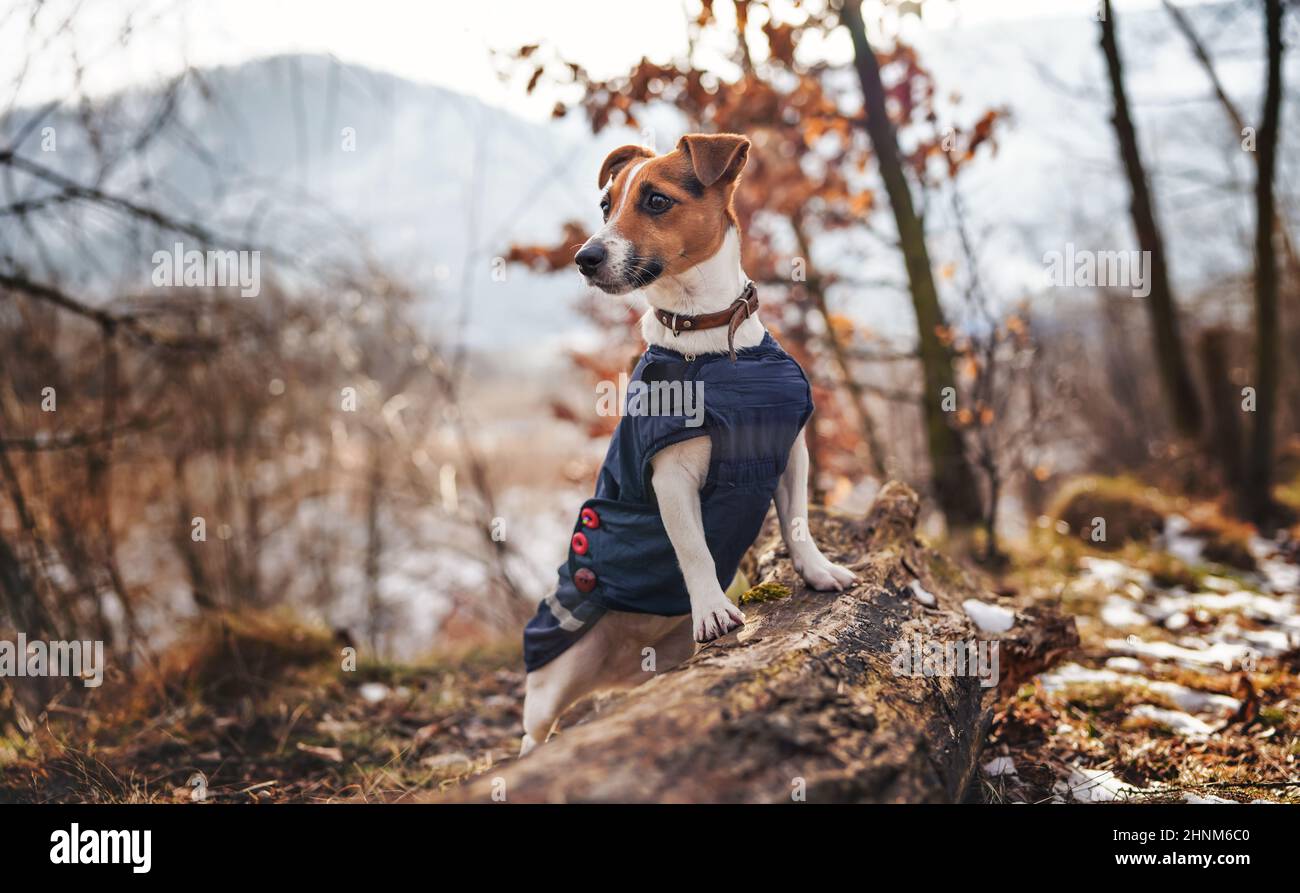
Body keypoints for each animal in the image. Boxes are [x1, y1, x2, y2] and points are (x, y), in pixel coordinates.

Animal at [517, 132, 863, 753]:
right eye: (606, 206)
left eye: (656, 200)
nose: (585, 257)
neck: (710, 335)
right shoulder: (670, 477)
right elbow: (694, 549)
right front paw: (711, 609)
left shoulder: (790, 453)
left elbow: (799, 523)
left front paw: (818, 571)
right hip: (557, 671)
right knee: (535, 730)